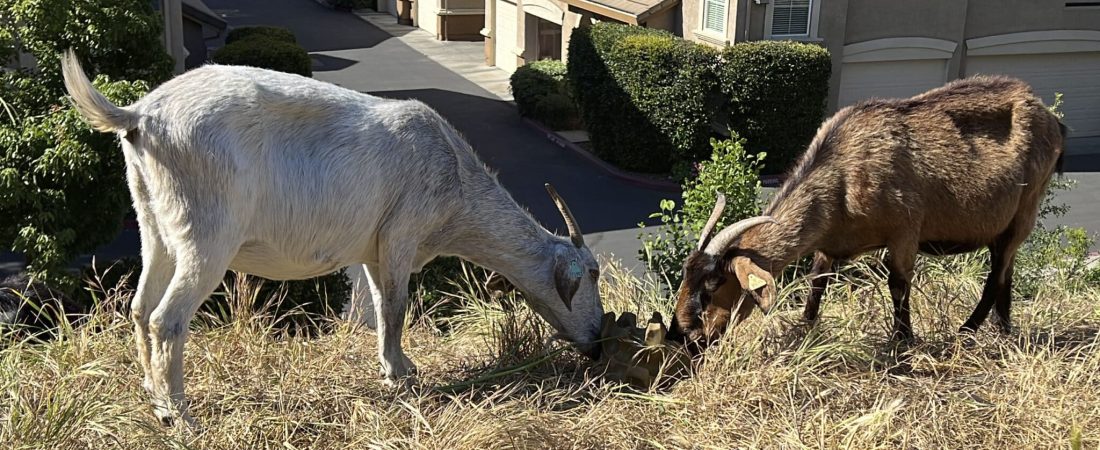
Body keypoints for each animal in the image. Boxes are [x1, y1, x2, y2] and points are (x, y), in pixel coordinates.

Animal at [63, 50, 607, 426]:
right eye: (593, 275)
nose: (597, 343)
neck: (455, 174)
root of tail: (140, 115)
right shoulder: (402, 233)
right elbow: (397, 307)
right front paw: (401, 375)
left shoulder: (373, 247)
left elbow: (378, 305)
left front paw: (393, 365)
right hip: (206, 231)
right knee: (167, 319)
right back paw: (180, 416)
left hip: (154, 220)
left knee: (139, 307)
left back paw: (152, 397)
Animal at [668, 75, 1064, 345]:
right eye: (686, 276)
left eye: (715, 284)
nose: (683, 332)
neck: (842, 173)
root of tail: (1050, 118)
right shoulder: (830, 244)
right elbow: (818, 282)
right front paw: (804, 328)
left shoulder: (906, 230)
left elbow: (898, 283)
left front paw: (903, 340)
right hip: (1004, 225)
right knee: (1006, 270)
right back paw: (1003, 328)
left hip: (1026, 208)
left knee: (996, 274)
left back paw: (966, 331)